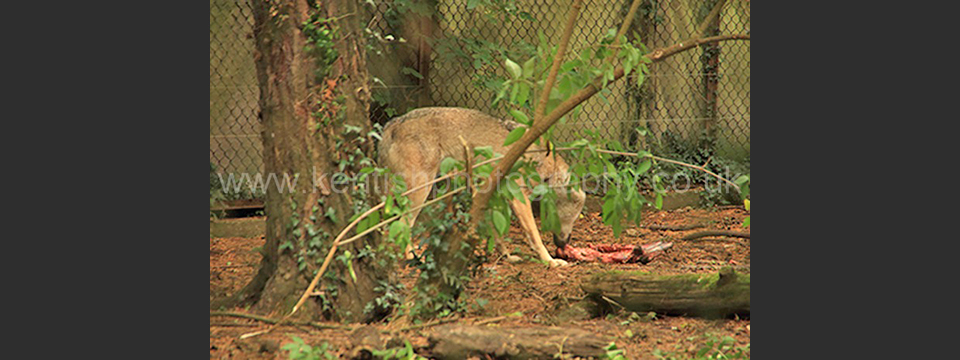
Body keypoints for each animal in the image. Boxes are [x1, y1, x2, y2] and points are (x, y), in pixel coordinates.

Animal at [376, 107, 584, 268]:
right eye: (573, 217)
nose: (565, 243)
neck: (543, 166)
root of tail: (392, 123)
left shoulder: (490, 195)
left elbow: (497, 235)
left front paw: (507, 257)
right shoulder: (519, 198)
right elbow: (534, 235)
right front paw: (550, 261)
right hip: (421, 192)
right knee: (404, 225)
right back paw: (413, 258)